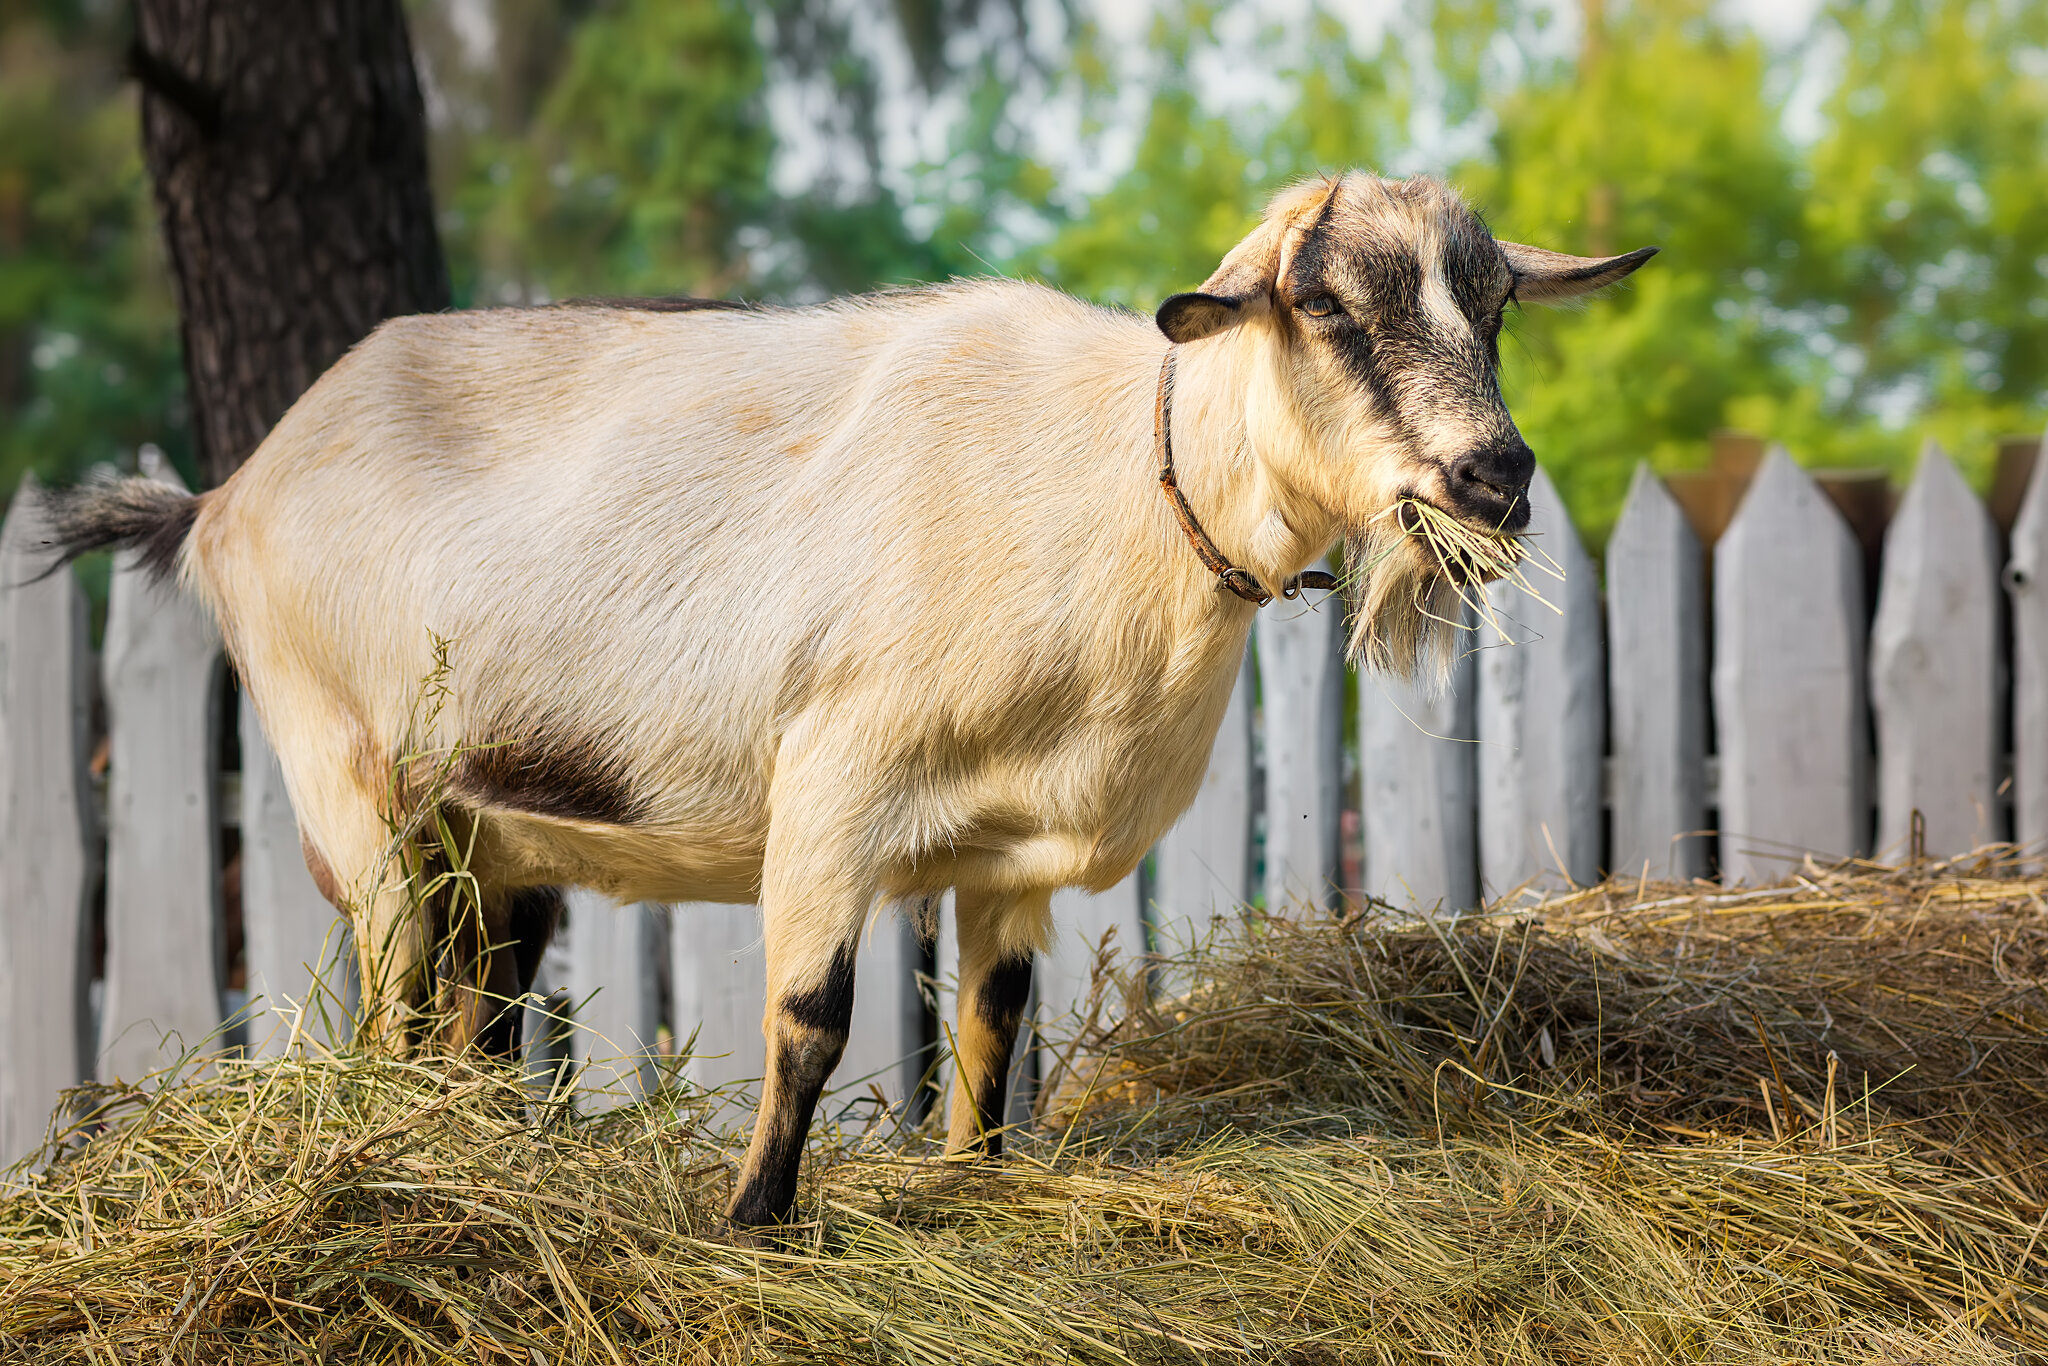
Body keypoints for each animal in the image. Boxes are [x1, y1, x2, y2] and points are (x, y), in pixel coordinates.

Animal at [42, 172, 1654, 1229]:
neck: (1124, 483)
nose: (1494, 479)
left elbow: (996, 1028)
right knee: (394, 1006)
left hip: (500, 834)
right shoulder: (832, 789)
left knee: (476, 1025)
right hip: (352, 786)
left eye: (1496, 305)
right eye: (1318, 303)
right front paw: (754, 1220)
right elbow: (813, 1016)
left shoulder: (1008, 857)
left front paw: (969, 1182)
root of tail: (223, 496)